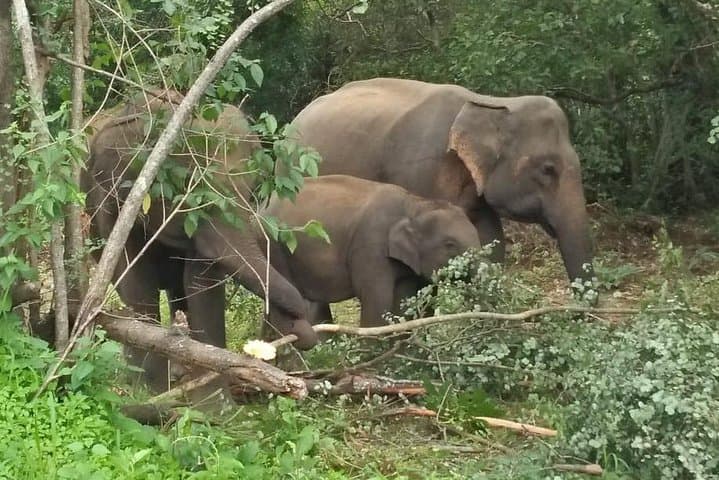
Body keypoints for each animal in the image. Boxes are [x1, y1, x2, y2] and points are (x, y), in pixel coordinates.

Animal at [82, 92, 318, 390]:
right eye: (187, 190)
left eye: (251, 189)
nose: (300, 325)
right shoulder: (113, 205)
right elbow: (137, 283)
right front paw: (153, 389)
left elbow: (201, 283)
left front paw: (211, 388)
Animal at [257, 175, 481, 327]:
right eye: (450, 245)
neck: (416, 204)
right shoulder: (371, 246)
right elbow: (376, 300)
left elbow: (403, 303)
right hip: (274, 246)